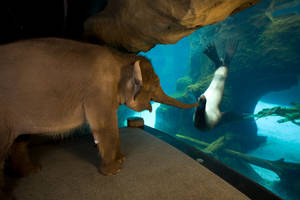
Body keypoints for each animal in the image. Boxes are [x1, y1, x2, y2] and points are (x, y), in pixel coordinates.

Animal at [0, 37, 197, 197]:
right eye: (153, 88)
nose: (197, 100)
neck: (121, 58)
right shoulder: (98, 93)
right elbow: (105, 127)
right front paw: (115, 170)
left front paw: (121, 159)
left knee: (21, 139)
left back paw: (32, 171)